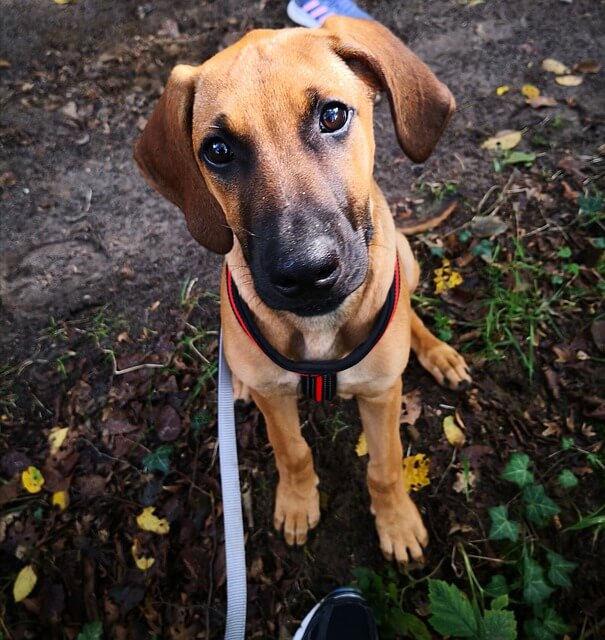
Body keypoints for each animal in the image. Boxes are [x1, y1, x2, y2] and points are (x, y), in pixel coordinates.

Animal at [134, 16, 470, 564]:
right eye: (218, 151)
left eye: (332, 115)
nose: (307, 273)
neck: (318, 329)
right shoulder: (277, 400)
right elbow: (292, 452)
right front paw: (296, 503)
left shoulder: (382, 396)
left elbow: (385, 466)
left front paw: (396, 522)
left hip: (409, 259)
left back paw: (437, 352)